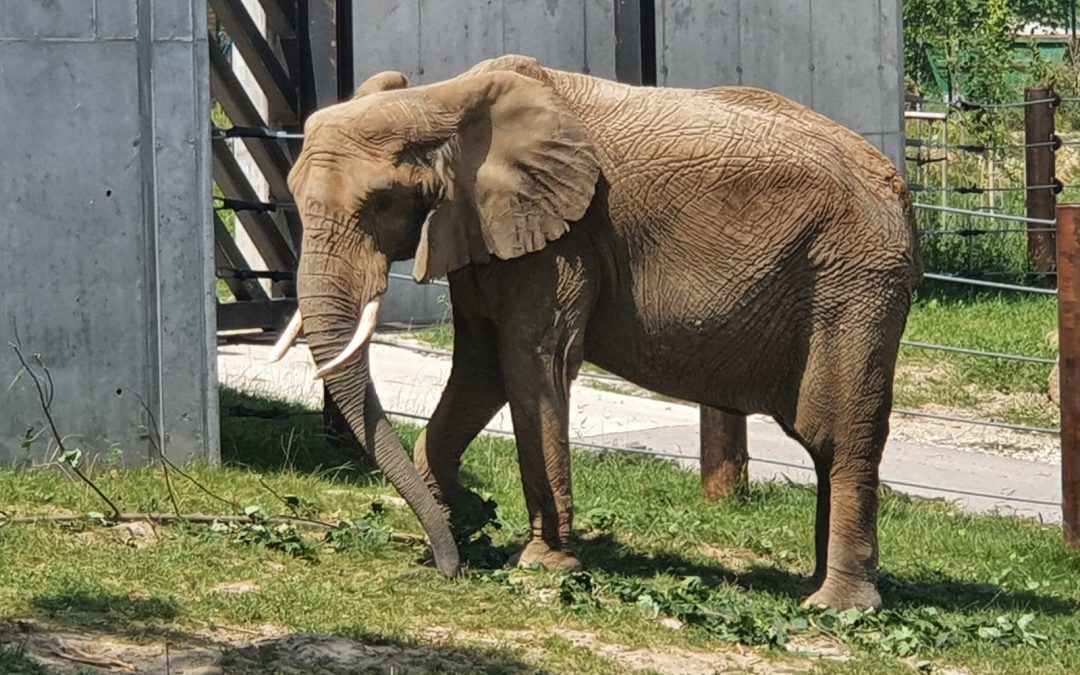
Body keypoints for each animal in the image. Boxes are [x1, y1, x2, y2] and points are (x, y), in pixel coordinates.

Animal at [278, 55, 920, 609]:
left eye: (382, 204)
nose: (449, 568)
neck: (440, 102)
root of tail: (899, 187)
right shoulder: (485, 227)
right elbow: (480, 369)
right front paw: (469, 514)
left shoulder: (565, 238)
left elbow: (531, 362)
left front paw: (541, 565)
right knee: (826, 443)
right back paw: (816, 587)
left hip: (855, 283)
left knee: (839, 434)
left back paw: (836, 607)